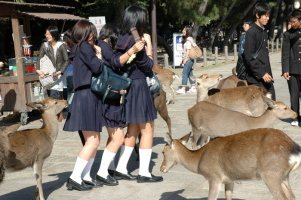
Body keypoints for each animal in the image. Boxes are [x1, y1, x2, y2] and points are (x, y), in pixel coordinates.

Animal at [161, 130, 300, 200]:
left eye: (163, 151)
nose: (161, 168)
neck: (199, 161)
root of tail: (295, 149)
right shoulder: (229, 180)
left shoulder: (214, 177)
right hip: (284, 176)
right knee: (292, 197)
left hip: (270, 174)